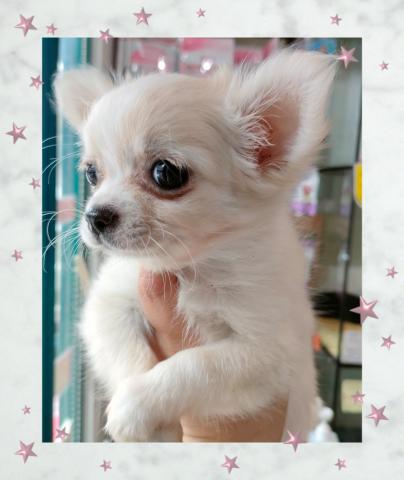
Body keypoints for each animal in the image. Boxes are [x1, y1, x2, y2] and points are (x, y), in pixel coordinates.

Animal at [54, 49, 336, 442]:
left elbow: (194, 366)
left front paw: (136, 407)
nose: (95, 216)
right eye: (92, 174)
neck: (194, 266)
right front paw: (142, 415)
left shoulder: (264, 355)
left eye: (166, 173)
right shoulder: (108, 305)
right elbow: (126, 351)